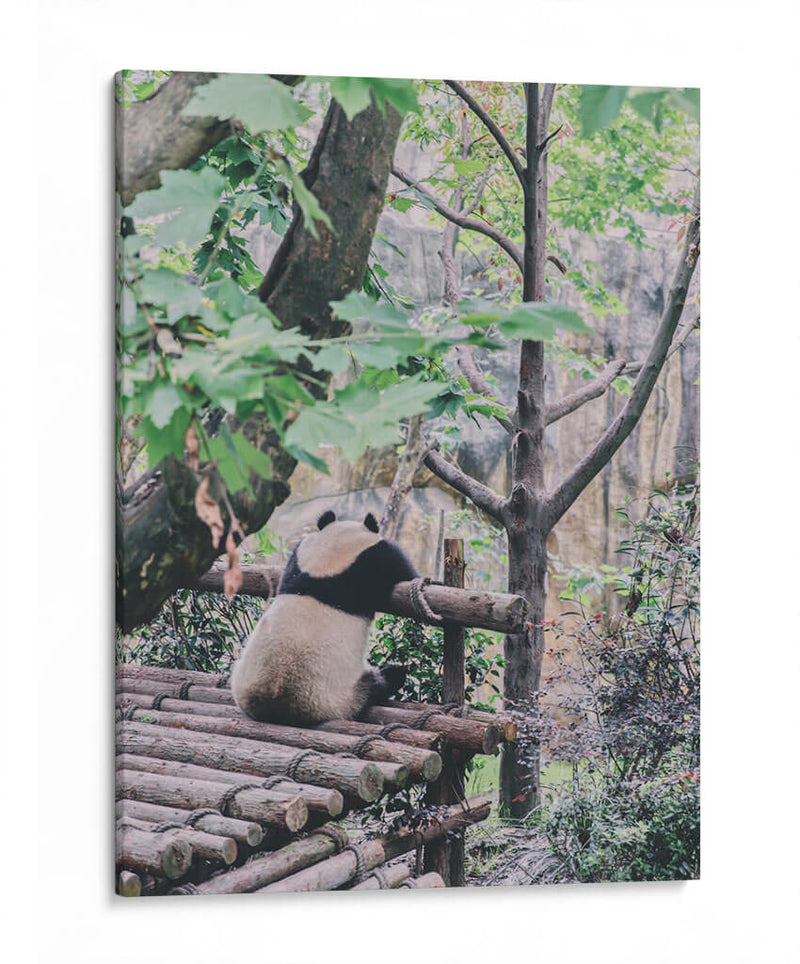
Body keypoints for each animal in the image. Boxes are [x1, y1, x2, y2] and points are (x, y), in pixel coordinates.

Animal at [230, 510, 419, 725]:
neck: (329, 559)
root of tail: (273, 704)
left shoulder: (298, 558)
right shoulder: (377, 559)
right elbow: (405, 571)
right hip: (339, 696)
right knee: (379, 683)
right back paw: (392, 677)